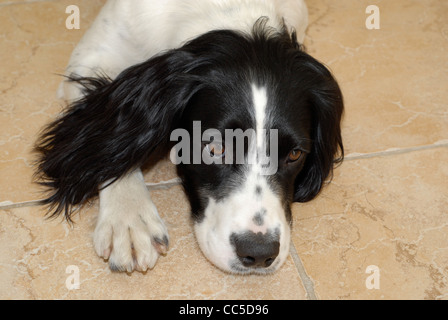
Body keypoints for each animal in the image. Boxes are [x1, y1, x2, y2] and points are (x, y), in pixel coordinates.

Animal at [35, 0, 344, 276]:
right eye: (215, 148)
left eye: (294, 154)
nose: (258, 253)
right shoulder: (89, 61)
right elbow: (110, 142)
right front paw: (128, 220)